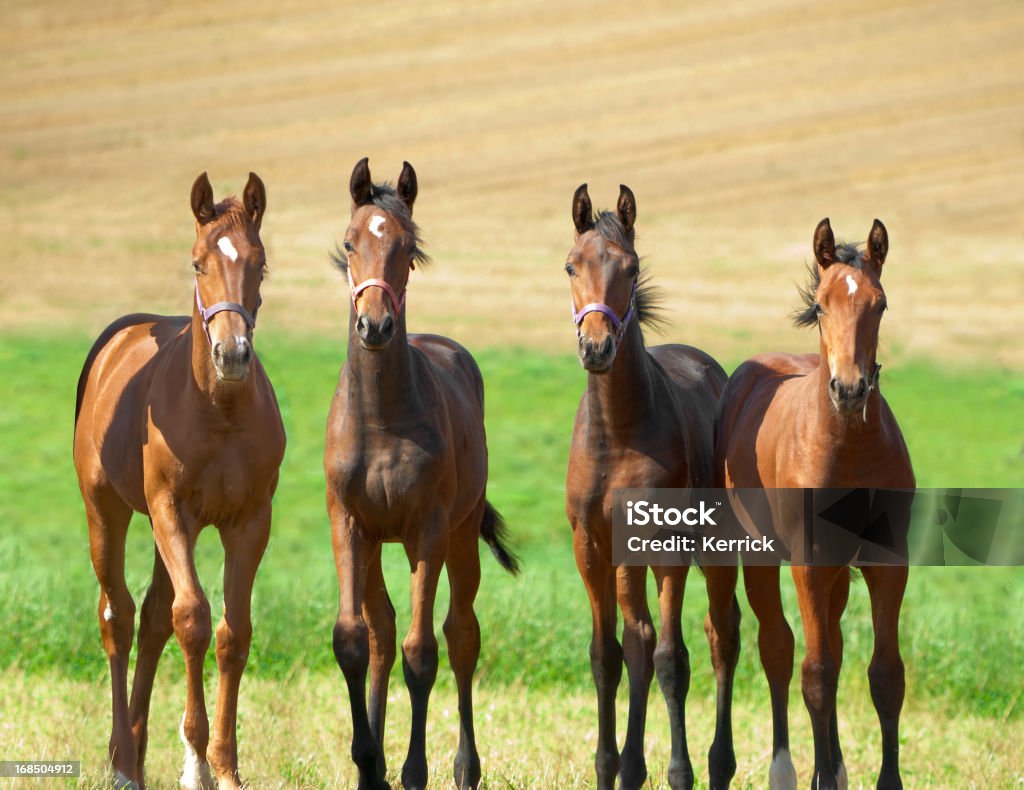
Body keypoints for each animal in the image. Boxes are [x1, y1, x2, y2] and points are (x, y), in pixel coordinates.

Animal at [73, 173, 284, 790]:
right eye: (197, 262)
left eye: (260, 264)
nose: (232, 354)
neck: (219, 413)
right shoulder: (172, 511)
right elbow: (192, 620)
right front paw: (196, 765)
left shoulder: (249, 522)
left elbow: (233, 633)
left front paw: (226, 766)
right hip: (107, 511)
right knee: (117, 617)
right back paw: (122, 763)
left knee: (149, 619)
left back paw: (137, 754)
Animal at [325, 155, 520, 790]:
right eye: (350, 241)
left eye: (407, 247)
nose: (375, 325)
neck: (382, 419)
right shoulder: (349, 525)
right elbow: (355, 640)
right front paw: (368, 763)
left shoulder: (426, 531)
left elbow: (422, 652)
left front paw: (414, 770)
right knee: (381, 634)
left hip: (459, 537)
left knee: (460, 635)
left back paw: (464, 767)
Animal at [565, 183, 741, 790]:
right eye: (571, 265)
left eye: (632, 268)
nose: (596, 348)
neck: (618, 434)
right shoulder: (592, 547)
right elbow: (607, 654)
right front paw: (609, 766)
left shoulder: (666, 546)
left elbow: (669, 657)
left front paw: (676, 771)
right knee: (639, 638)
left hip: (713, 549)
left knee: (721, 636)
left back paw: (717, 764)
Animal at [716, 218, 917, 790]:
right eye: (822, 305)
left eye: (880, 304)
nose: (849, 389)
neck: (849, 448)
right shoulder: (808, 562)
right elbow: (816, 674)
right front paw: (820, 776)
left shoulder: (887, 561)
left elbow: (885, 675)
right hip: (760, 556)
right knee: (780, 649)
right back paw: (786, 769)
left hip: (838, 573)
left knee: (833, 645)